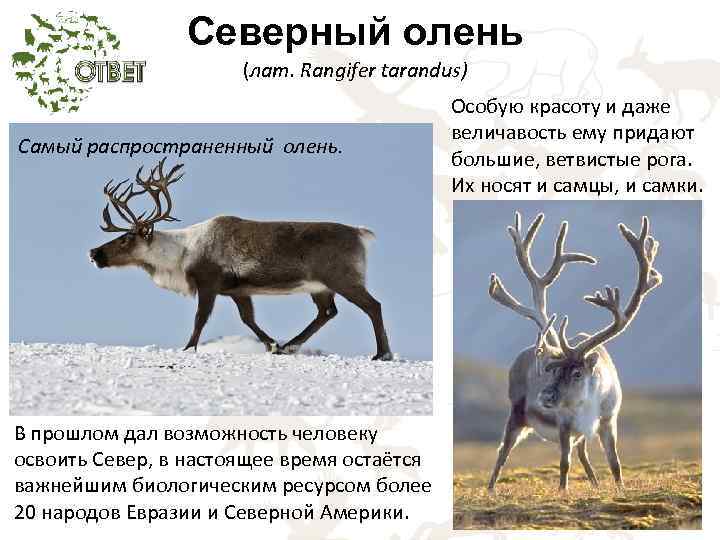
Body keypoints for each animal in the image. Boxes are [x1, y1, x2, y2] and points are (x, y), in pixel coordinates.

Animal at [88, 157, 393, 360]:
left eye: (126, 238)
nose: (94, 253)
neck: (181, 253)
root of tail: (359, 233)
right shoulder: (238, 290)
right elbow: (248, 319)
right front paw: (273, 344)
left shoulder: (208, 282)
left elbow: (200, 318)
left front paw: (187, 348)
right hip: (320, 287)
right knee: (327, 312)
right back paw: (290, 345)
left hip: (342, 277)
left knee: (372, 306)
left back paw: (382, 354)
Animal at [486, 212, 662, 492]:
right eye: (554, 370)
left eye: (577, 372)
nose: (545, 396)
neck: (588, 402)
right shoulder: (564, 423)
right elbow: (564, 462)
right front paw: (562, 490)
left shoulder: (608, 420)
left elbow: (615, 462)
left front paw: (620, 489)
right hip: (516, 413)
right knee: (503, 450)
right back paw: (491, 488)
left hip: (581, 433)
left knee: (583, 454)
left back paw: (596, 484)